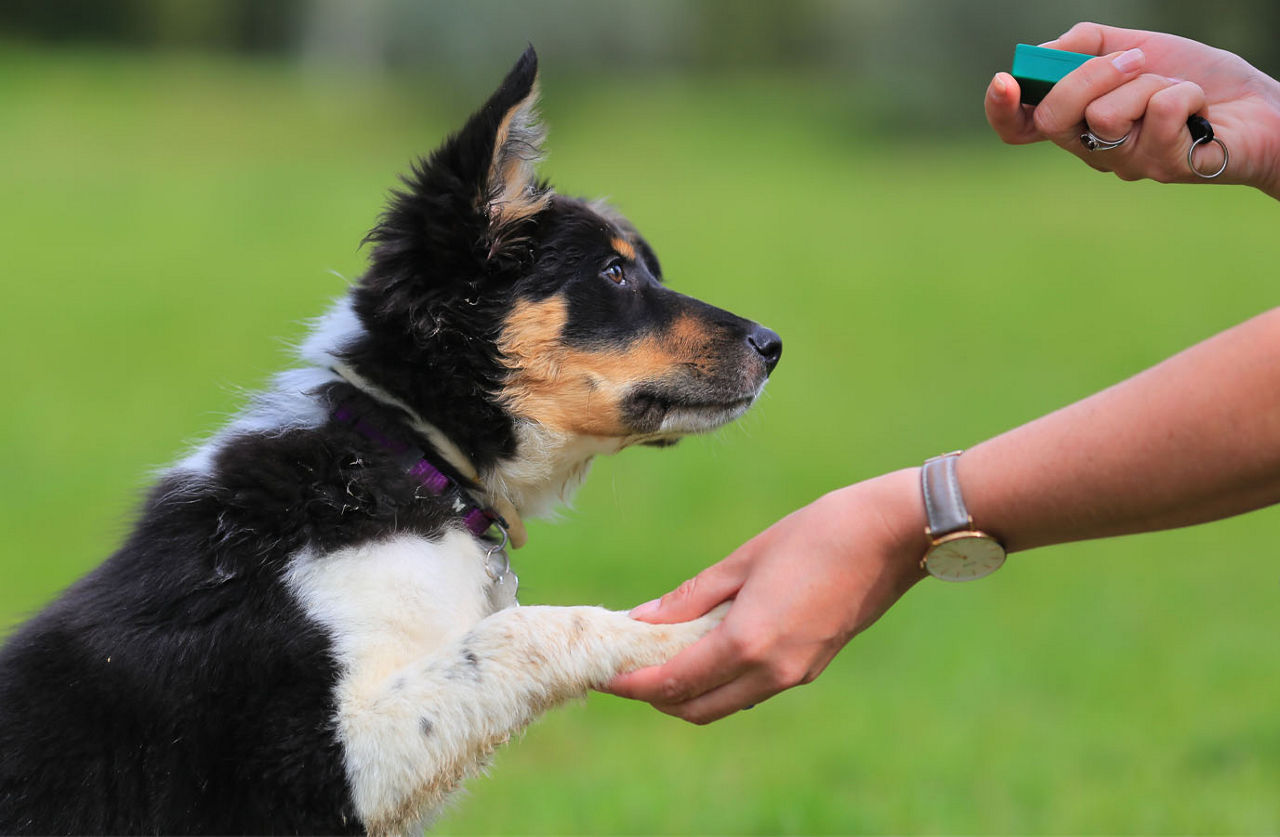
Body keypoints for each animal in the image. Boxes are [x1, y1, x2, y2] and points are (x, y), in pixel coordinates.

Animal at [0, 49, 778, 834]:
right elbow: (524, 631)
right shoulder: (318, 762)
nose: (773, 345)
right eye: (615, 273)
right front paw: (695, 627)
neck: (411, 458)